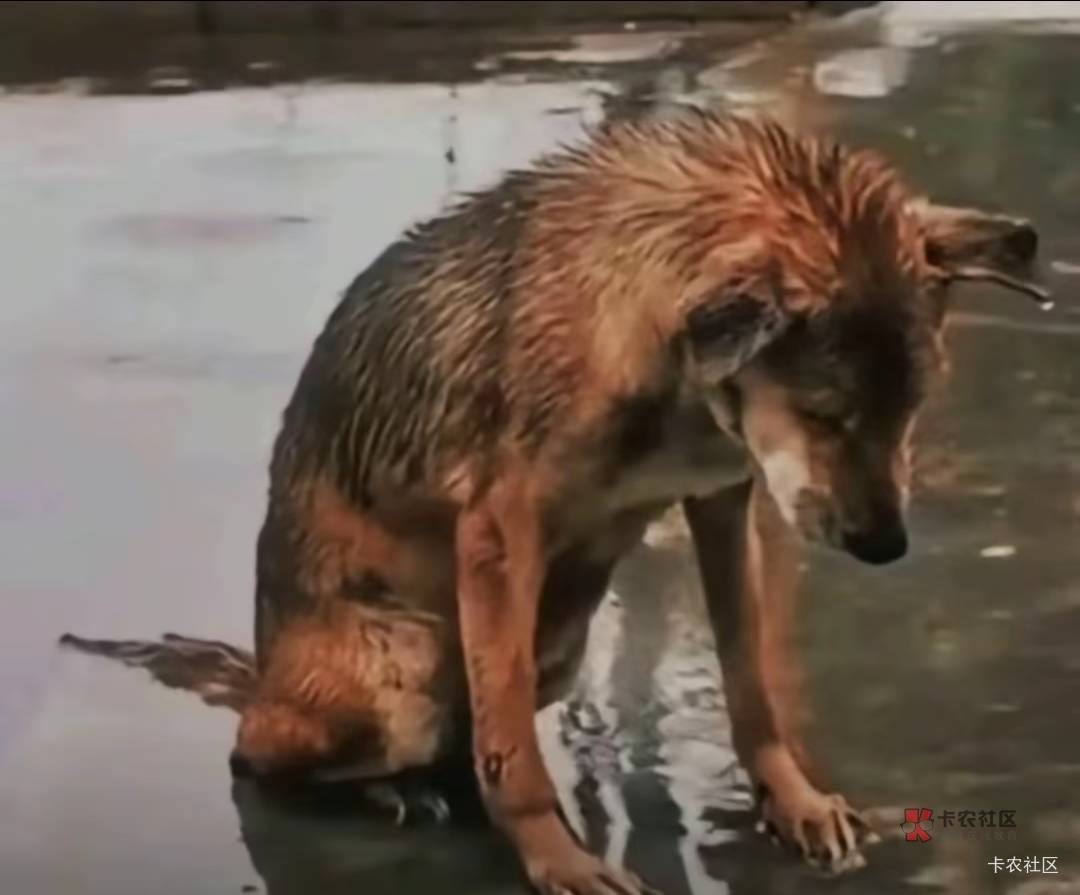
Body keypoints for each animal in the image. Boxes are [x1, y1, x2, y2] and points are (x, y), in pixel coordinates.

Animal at [61, 114, 1045, 889]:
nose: (886, 547)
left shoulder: (723, 501)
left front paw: (792, 798)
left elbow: (751, 679)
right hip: (401, 669)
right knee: (271, 751)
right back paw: (388, 785)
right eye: (824, 413)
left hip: (558, 643)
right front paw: (557, 858)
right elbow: (519, 760)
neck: (673, 363)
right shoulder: (501, 533)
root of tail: (264, 672)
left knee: (468, 739)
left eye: (912, 407)